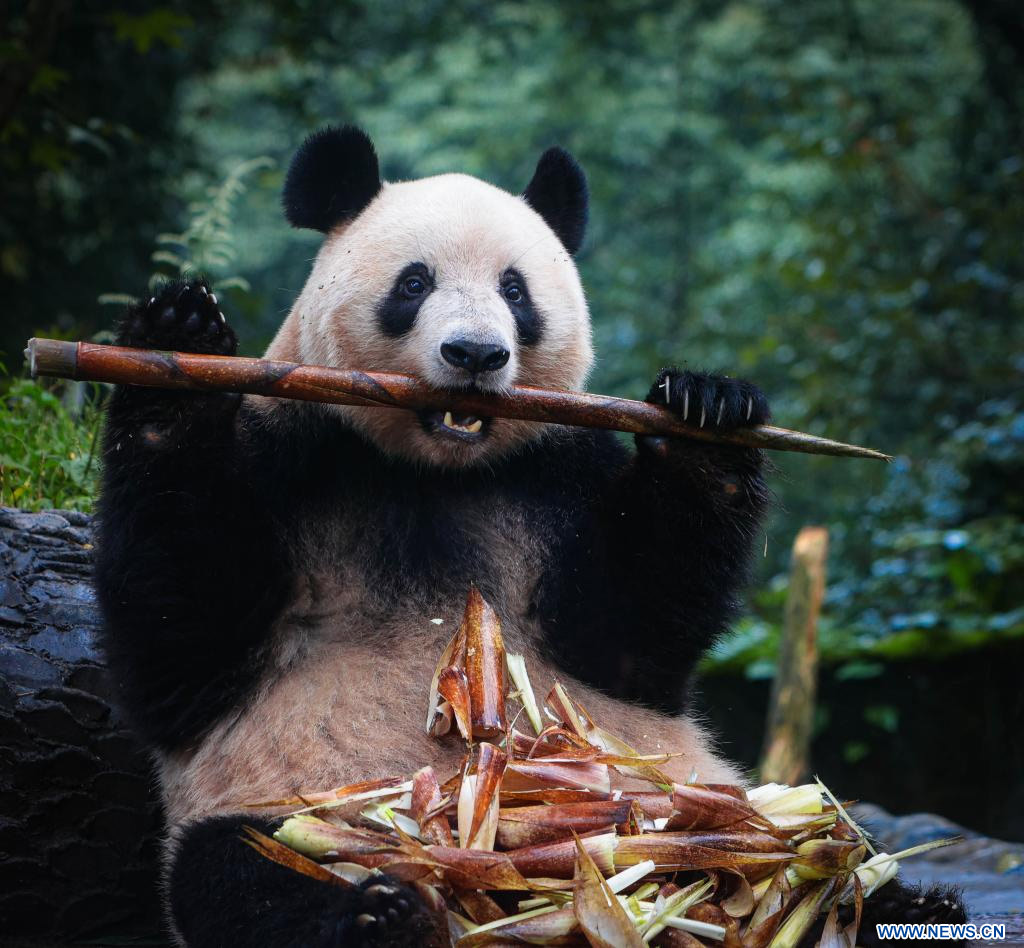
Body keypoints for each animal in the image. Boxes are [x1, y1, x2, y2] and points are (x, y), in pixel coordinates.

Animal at [92, 127, 962, 948]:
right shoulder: (293, 449)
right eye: (414, 283)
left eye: (516, 290)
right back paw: (383, 914)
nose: (475, 354)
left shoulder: (556, 476)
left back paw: (902, 903)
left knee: (827, 838)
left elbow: (632, 639)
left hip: (695, 792)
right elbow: (181, 641)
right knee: (242, 874)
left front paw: (707, 410)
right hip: (309, 807)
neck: (436, 468)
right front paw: (175, 337)